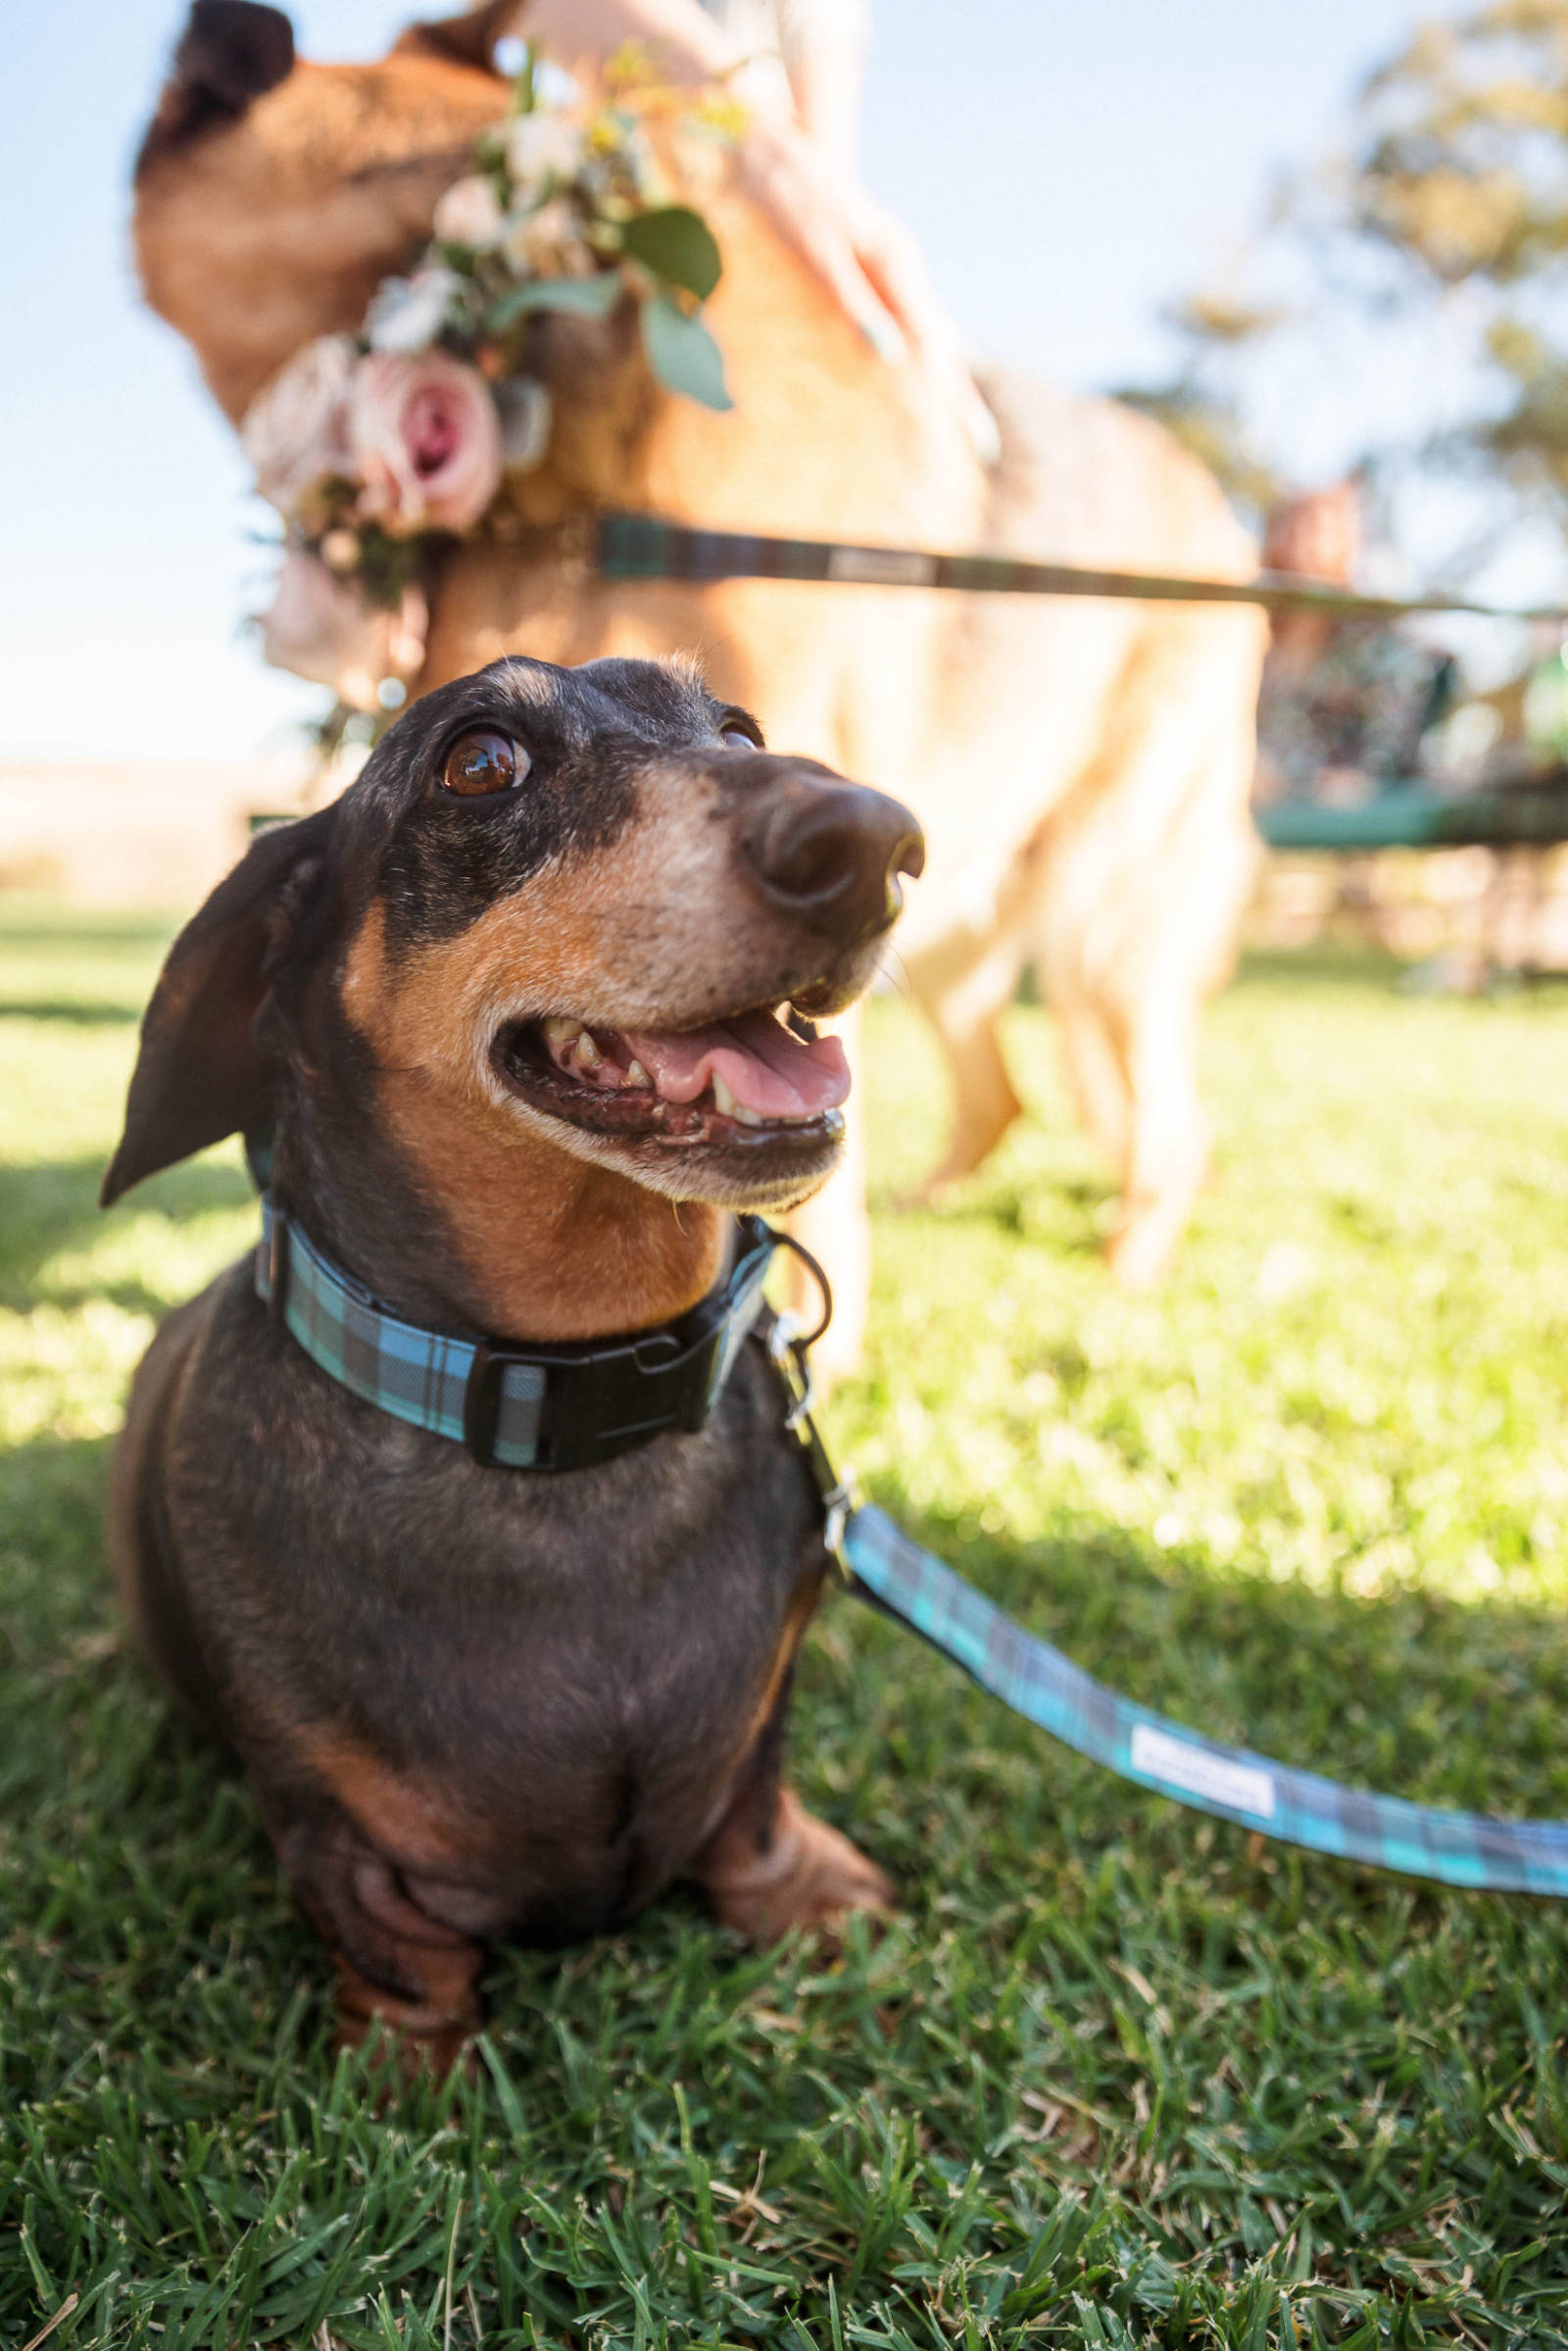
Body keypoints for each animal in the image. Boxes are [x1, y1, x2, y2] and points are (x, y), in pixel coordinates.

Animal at [131, 0, 1259, 1373]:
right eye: (482, 759)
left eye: (738, 730)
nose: (220, 35)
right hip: (963, 925)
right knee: (1003, 1090)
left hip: (1099, 912)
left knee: (1168, 1121)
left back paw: (1124, 1273)